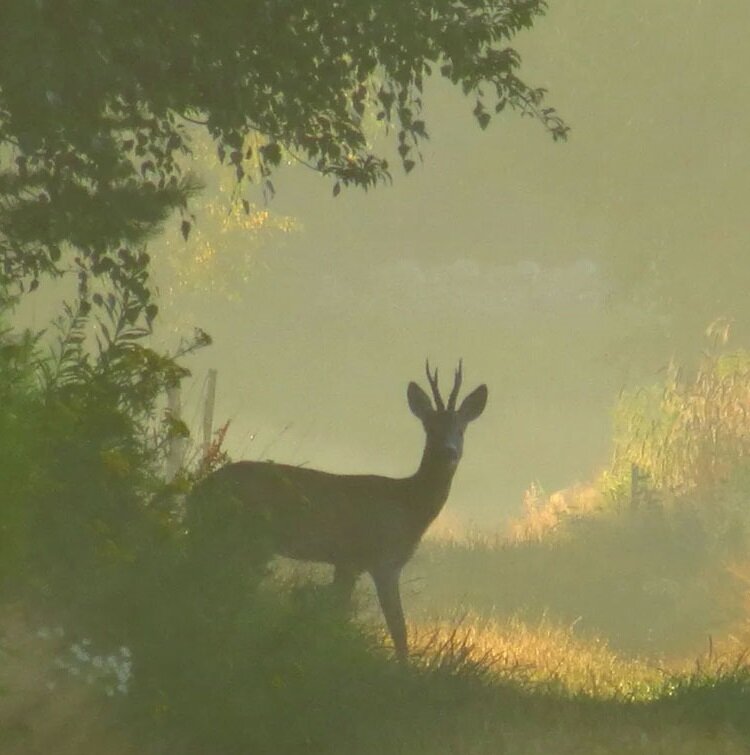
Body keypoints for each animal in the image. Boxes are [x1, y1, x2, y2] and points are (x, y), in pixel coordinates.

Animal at [191, 364, 490, 660]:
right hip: (247, 533)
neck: (408, 504)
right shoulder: (381, 560)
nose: (449, 452)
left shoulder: (348, 562)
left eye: (461, 430)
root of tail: (200, 489)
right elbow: (397, 629)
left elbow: (338, 611)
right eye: (431, 429)